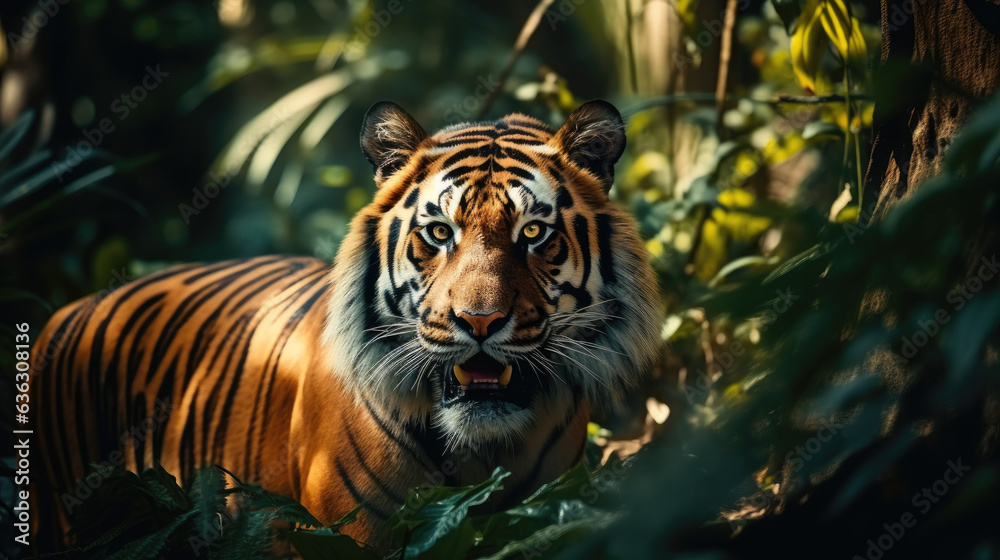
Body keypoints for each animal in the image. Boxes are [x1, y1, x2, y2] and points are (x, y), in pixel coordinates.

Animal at [29, 100, 663, 550]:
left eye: (532, 233)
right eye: (439, 233)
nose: (478, 322)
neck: (479, 457)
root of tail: (69, 308)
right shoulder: (348, 534)